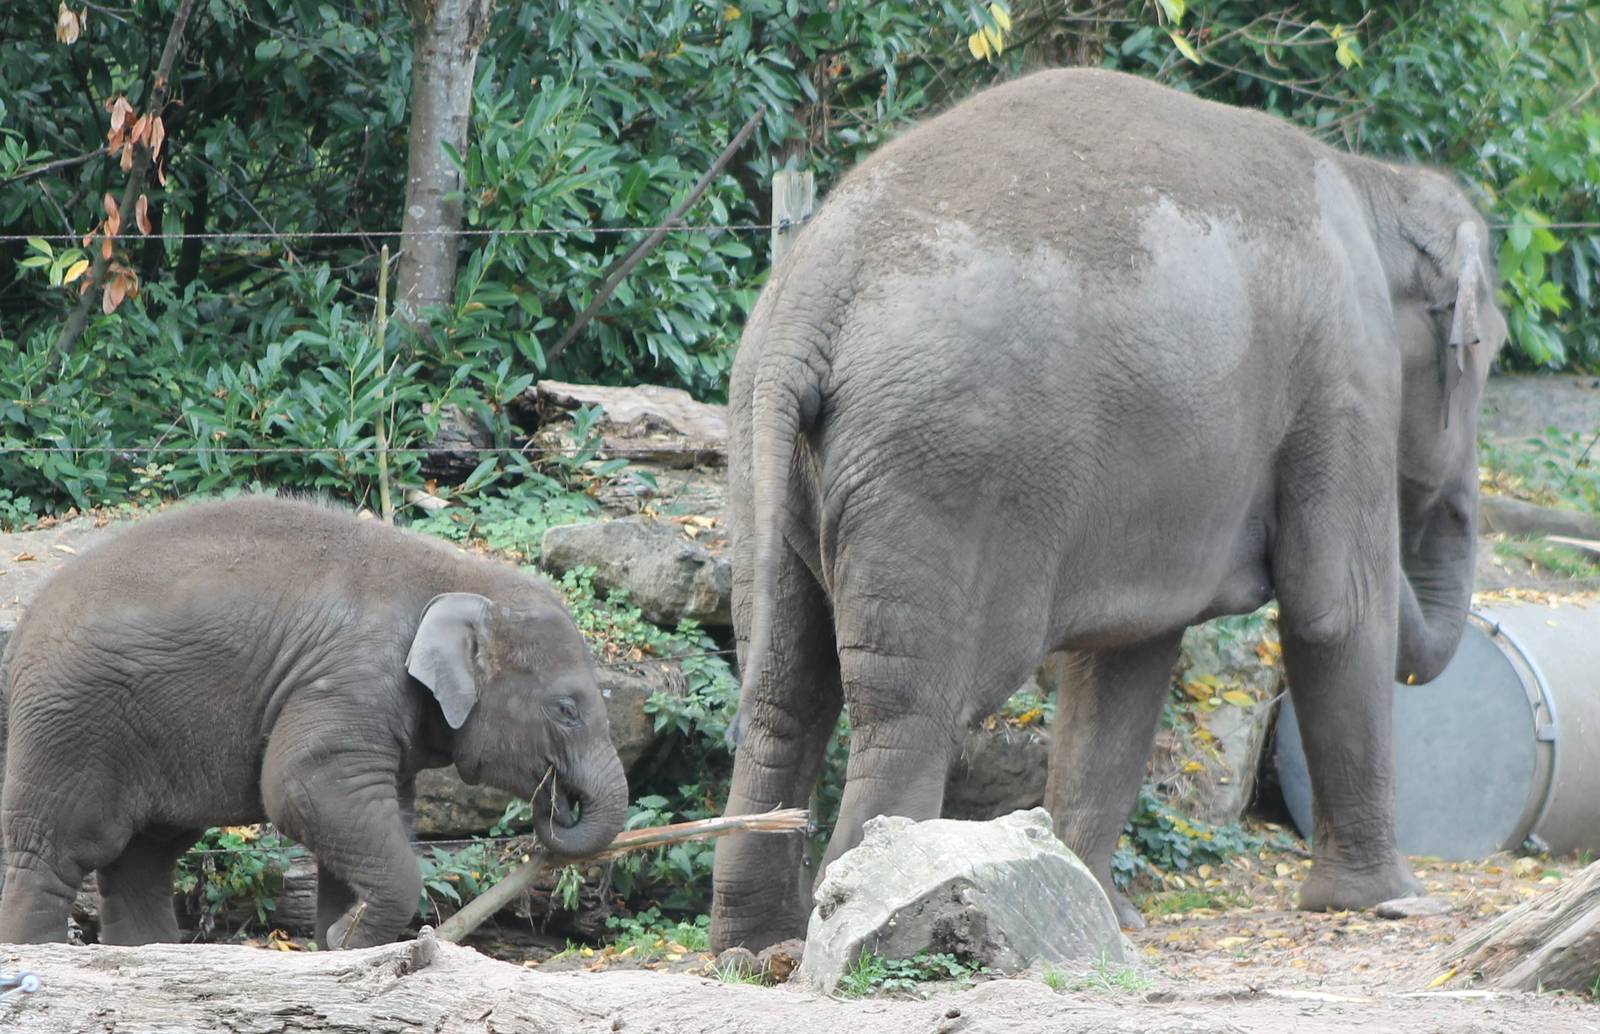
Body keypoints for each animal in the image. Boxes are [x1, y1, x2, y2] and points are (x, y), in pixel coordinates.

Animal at [0, 495, 627, 947]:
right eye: (567, 710)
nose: (554, 804)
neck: (458, 573)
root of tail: (26, 625)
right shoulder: (353, 678)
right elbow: (304, 786)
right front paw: (346, 936)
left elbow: (374, 811)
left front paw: (340, 938)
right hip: (70, 724)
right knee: (54, 853)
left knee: (142, 860)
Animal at [711, 67, 1505, 951]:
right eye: (1490, 351)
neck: (1375, 183)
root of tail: (812, 303)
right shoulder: (1347, 374)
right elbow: (1337, 612)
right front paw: (1392, 902)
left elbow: (1126, 660)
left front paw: (1100, 909)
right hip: (941, 474)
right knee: (908, 711)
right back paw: (868, 931)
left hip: (765, 451)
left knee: (784, 693)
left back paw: (754, 949)